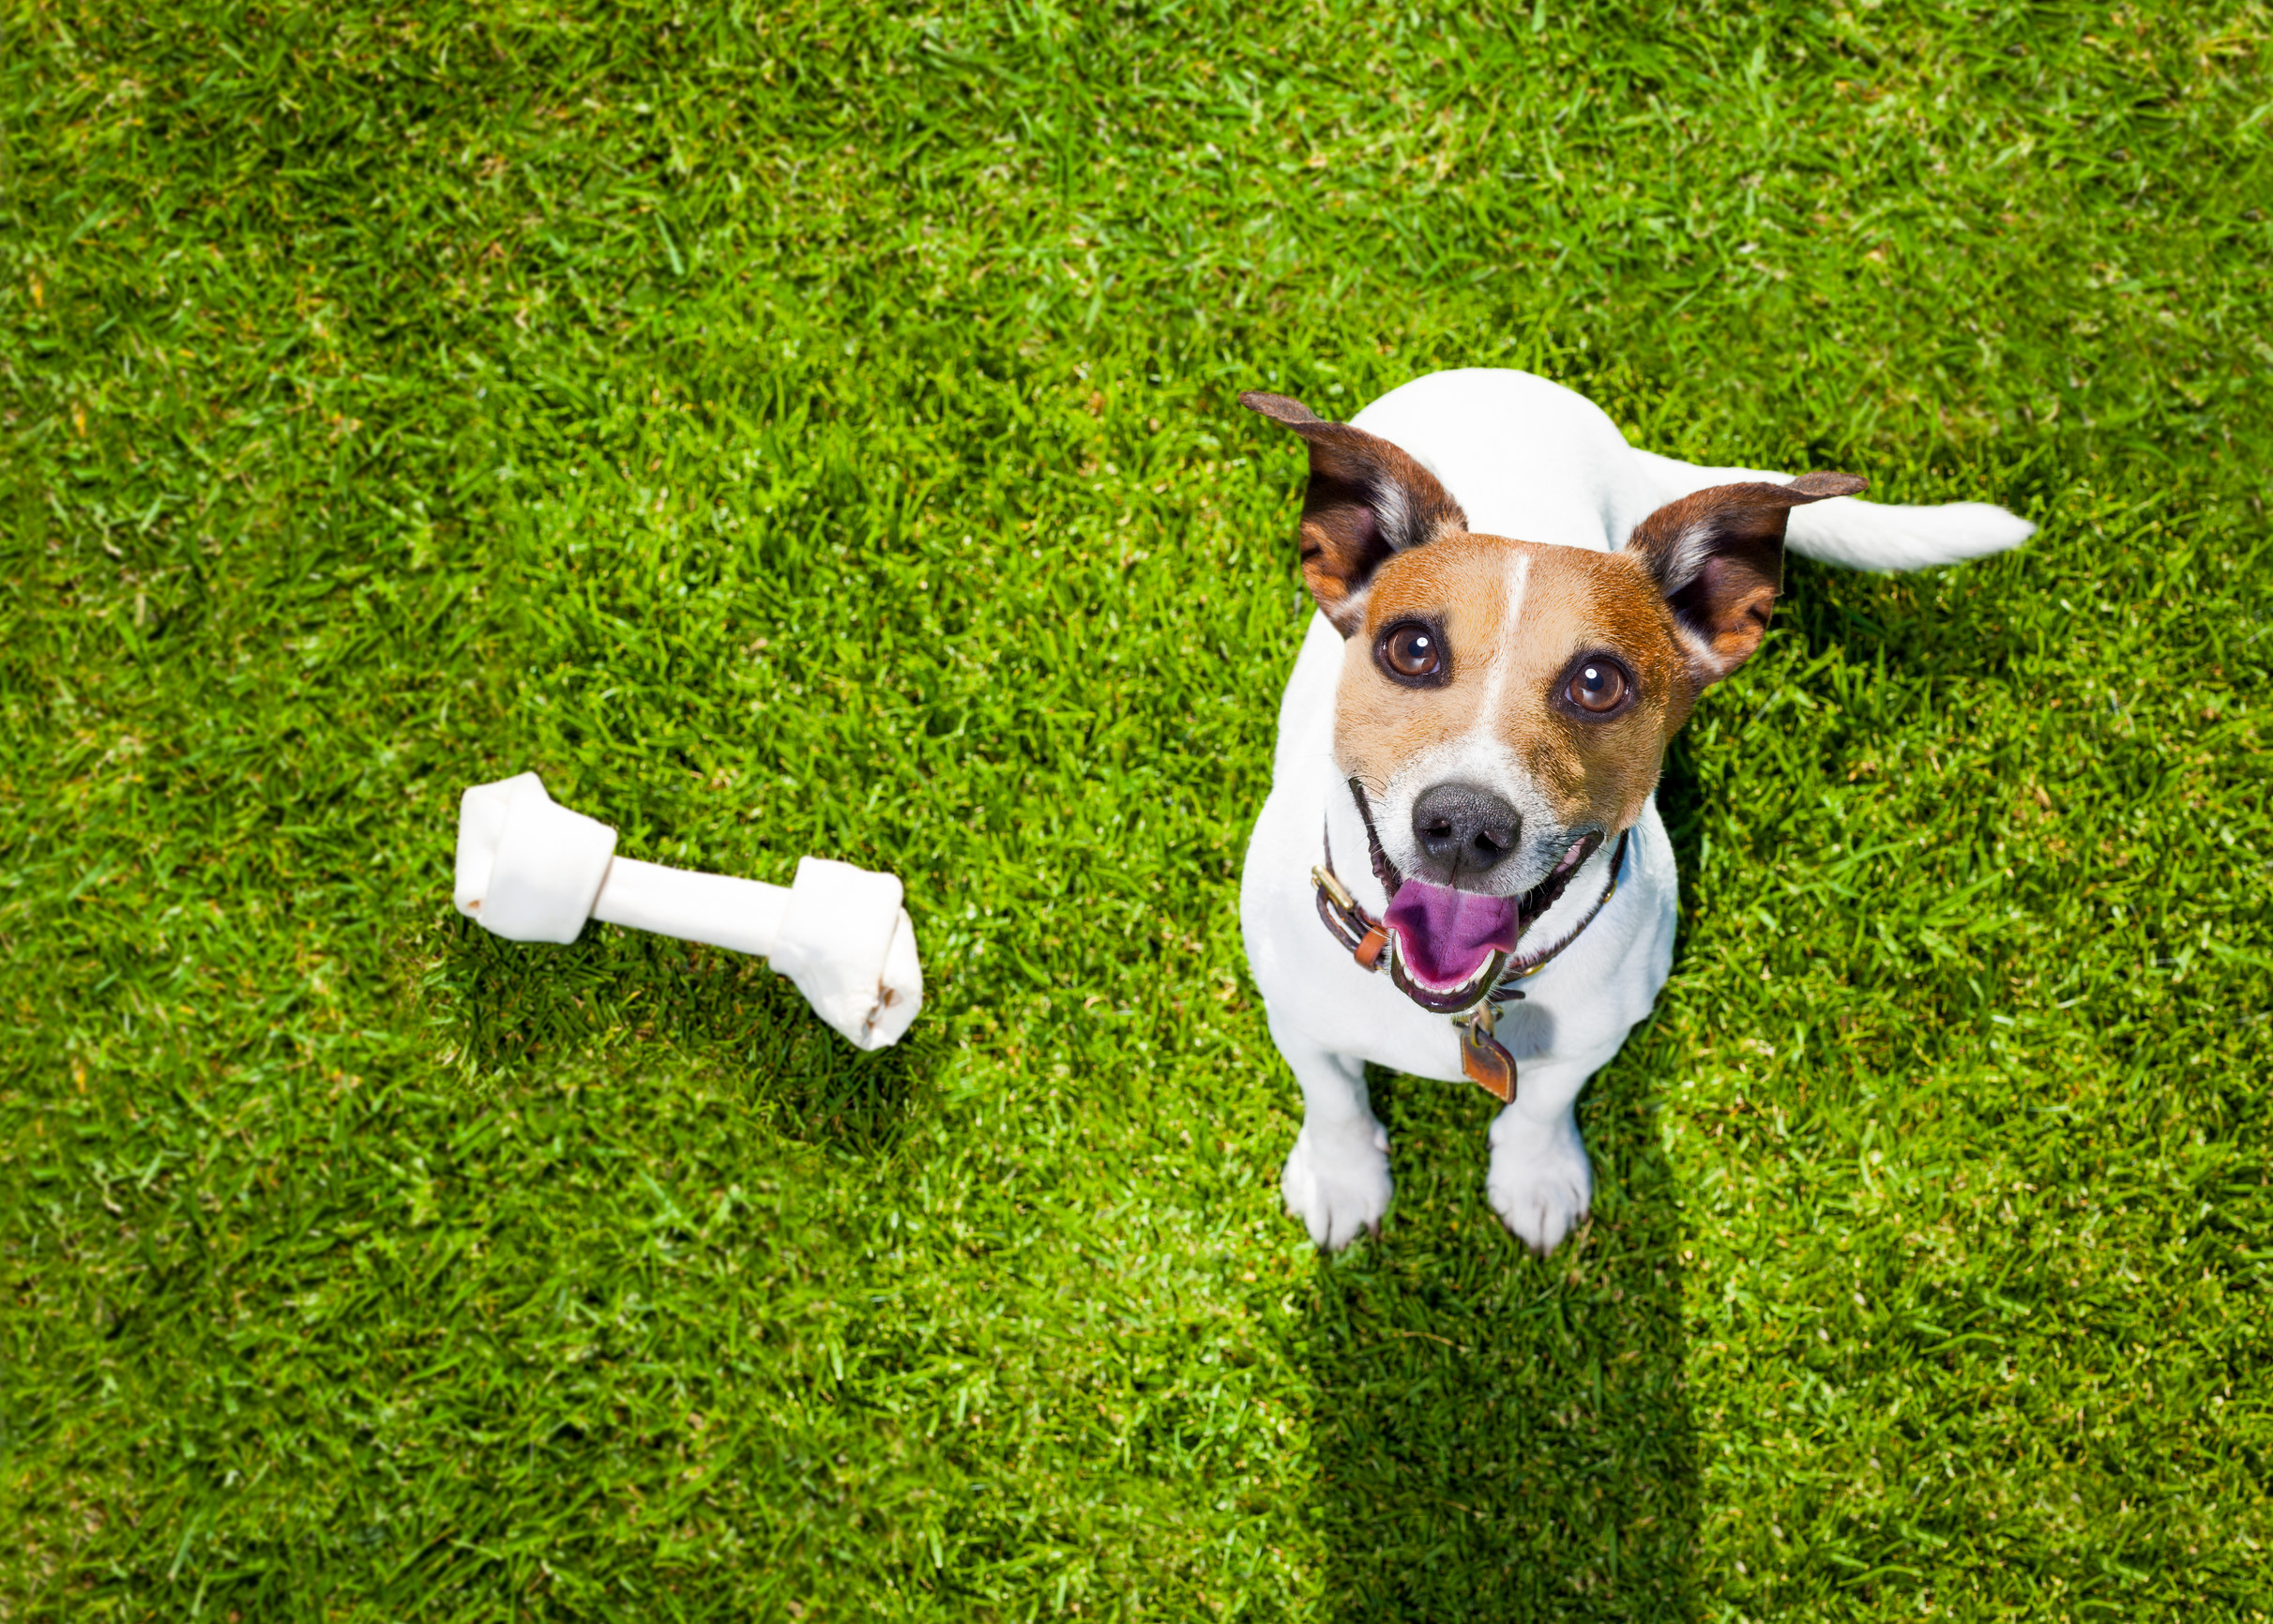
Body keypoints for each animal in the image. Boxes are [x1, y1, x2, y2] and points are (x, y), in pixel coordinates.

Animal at [1236, 371, 2037, 1255]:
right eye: (1410, 649)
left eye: (1598, 682)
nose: (1464, 825)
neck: (1469, 1004)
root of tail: (1507, 380)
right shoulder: (1293, 1013)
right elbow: (1331, 1093)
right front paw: (1342, 1175)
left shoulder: (1594, 1037)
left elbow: (1543, 1105)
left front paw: (1535, 1174)